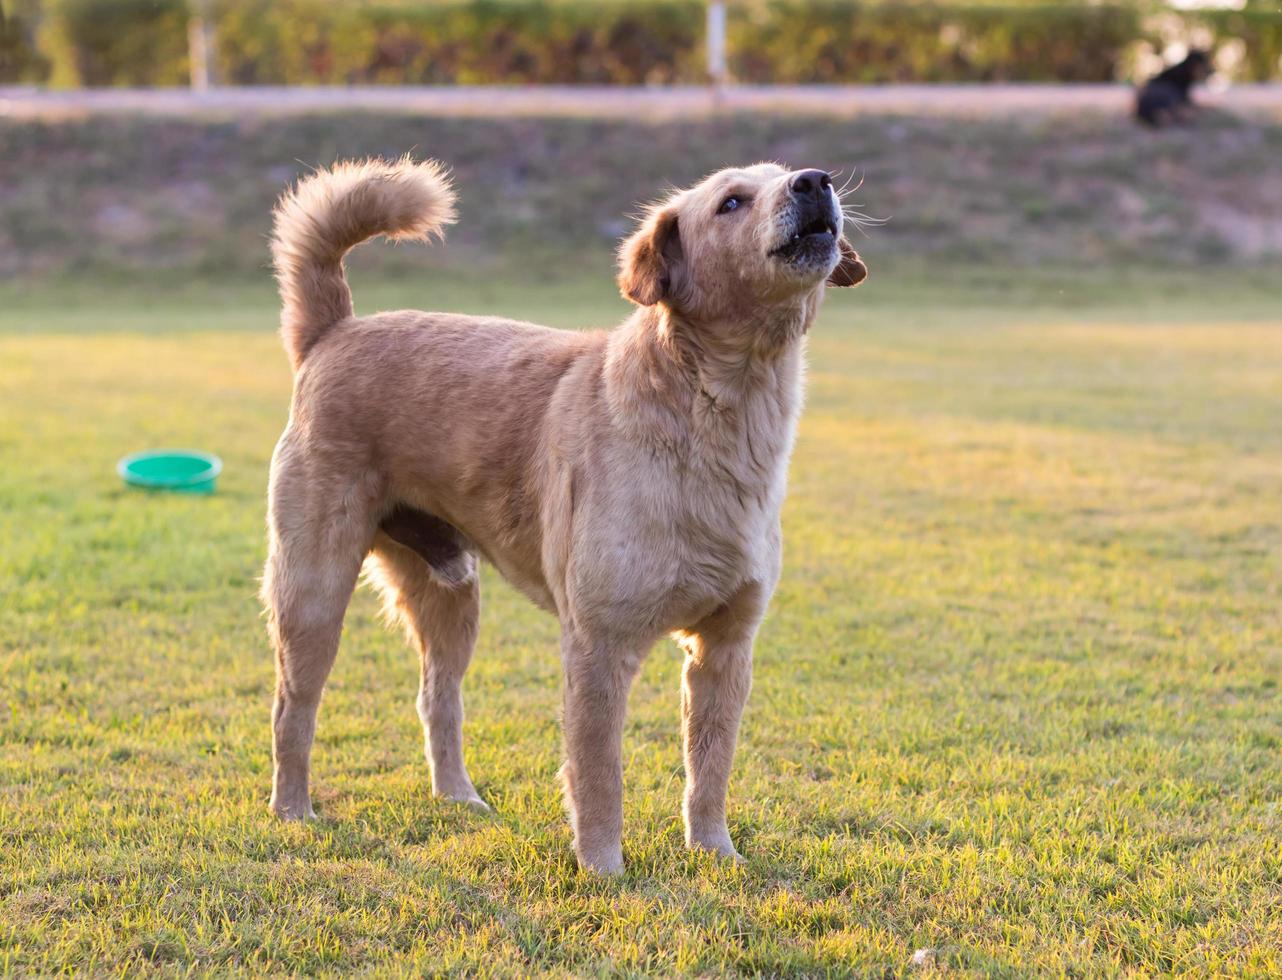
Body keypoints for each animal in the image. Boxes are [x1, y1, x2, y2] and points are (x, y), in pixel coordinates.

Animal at [266, 155, 871, 872]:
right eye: (730, 202)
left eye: (784, 175)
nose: (814, 180)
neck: (714, 418)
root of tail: (334, 331)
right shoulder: (598, 648)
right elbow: (599, 774)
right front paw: (604, 869)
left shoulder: (725, 650)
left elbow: (710, 770)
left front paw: (715, 853)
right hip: (313, 594)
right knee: (292, 710)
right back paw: (292, 810)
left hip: (451, 595)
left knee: (437, 700)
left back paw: (458, 797)